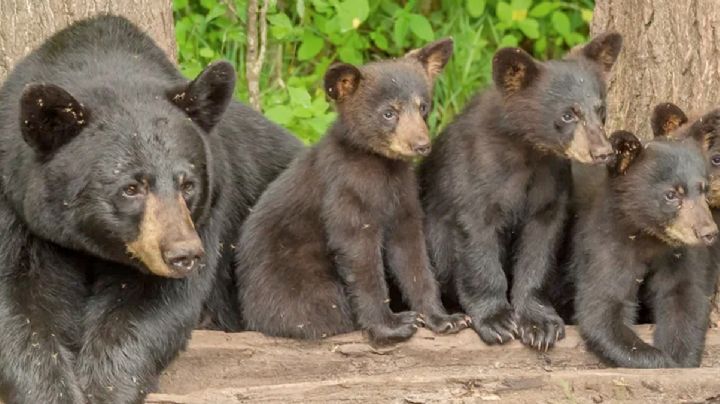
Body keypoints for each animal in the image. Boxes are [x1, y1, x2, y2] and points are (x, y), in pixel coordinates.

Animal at [0, 15, 300, 404]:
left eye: (188, 184)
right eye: (131, 188)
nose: (184, 255)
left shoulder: (207, 215)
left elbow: (149, 309)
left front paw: (104, 390)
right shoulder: (14, 205)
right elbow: (20, 306)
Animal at [235, 38, 470, 345]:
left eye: (423, 107)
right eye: (389, 113)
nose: (421, 145)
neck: (382, 166)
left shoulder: (403, 197)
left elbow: (413, 257)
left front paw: (445, 319)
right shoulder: (345, 191)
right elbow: (360, 257)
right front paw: (393, 325)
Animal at [418, 33, 622, 350]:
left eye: (600, 110)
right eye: (567, 114)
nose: (602, 152)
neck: (527, 153)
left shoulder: (549, 184)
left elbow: (540, 247)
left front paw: (540, 324)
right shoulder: (474, 176)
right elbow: (478, 246)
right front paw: (497, 321)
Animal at [570, 129, 717, 368]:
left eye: (704, 189)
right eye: (671, 194)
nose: (708, 232)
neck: (649, 238)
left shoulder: (678, 254)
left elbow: (684, 298)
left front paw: (678, 358)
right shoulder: (606, 242)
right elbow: (603, 306)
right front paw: (662, 360)